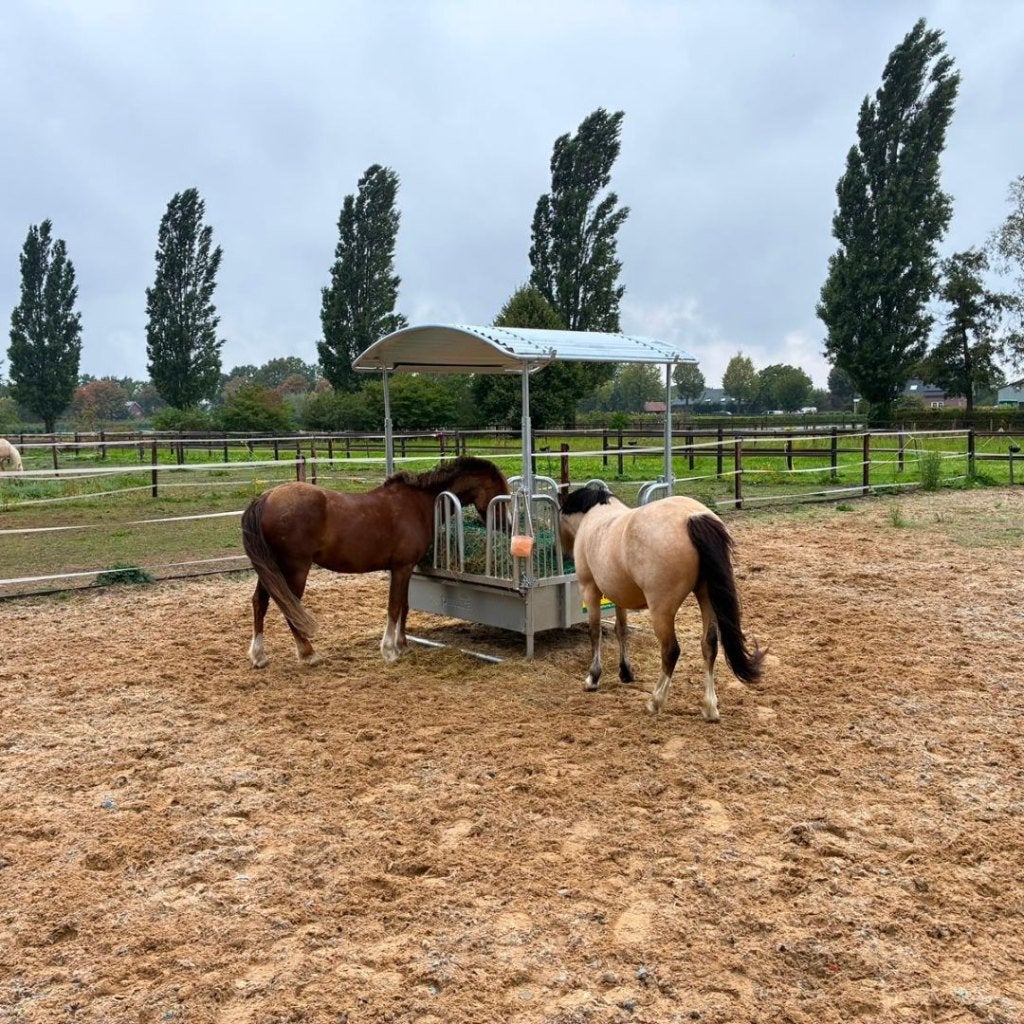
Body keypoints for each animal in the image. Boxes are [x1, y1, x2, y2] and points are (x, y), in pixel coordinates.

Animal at [242, 456, 509, 668]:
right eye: (499, 494)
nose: (505, 526)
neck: (419, 503)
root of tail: (267, 497)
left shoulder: (405, 569)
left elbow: (404, 605)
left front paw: (402, 645)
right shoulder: (401, 568)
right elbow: (394, 607)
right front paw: (389, 651)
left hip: (271, 569)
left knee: (260, 603)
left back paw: (259, 656)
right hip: (295, 569)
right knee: (289, 607)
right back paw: (308, 654)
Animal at [558, 484, 764, 722]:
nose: (563, 552)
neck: (595, 516)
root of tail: (693, 517)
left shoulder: (590, 589)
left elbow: (595, 632)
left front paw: (593, 678)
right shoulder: (619, 594)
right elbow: (622, 630)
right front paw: (625, 672)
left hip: (661, 610)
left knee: (671, 650)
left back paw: (655, 702)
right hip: (707, 597)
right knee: (709, 645)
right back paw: (710, 707)